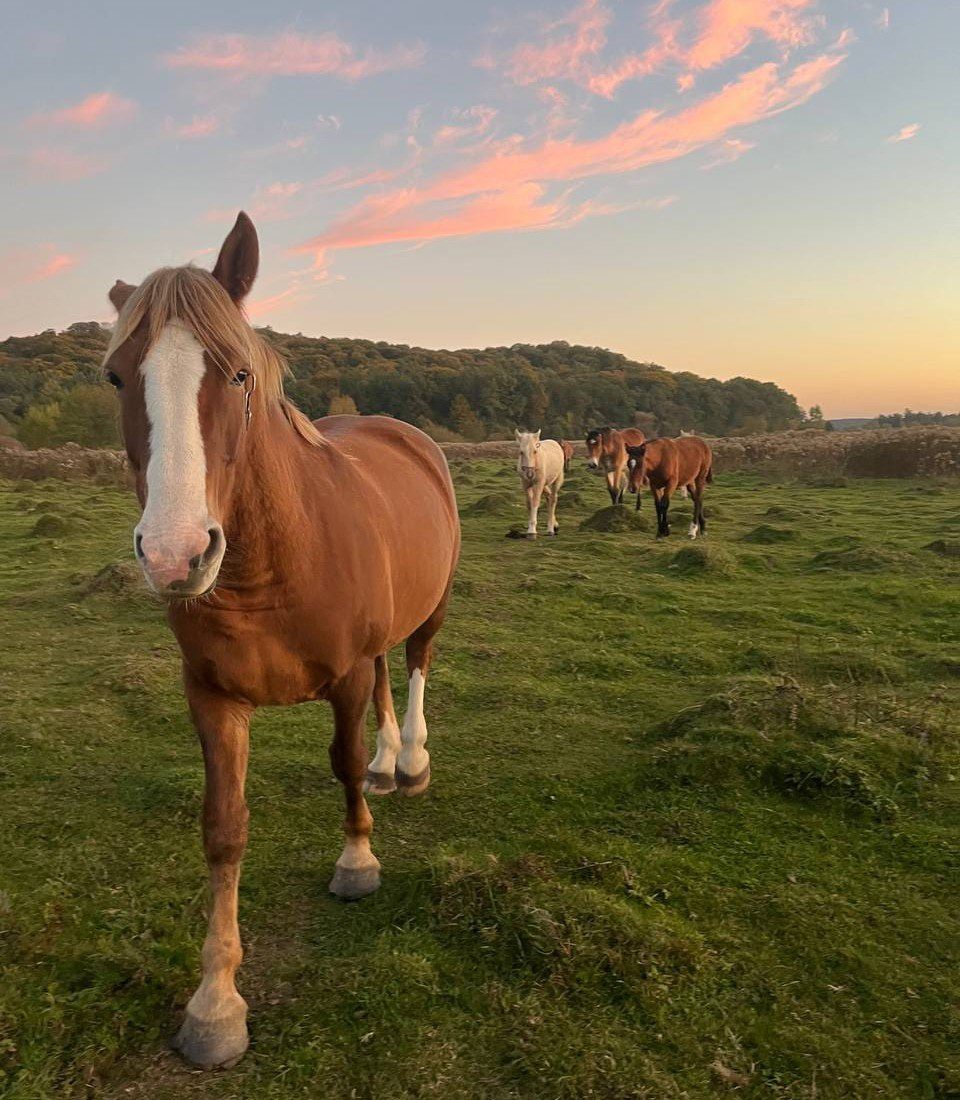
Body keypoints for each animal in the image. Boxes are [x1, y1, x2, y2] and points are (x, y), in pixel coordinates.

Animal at [102, 212, 459, 1064]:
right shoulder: (212, 697)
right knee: (390, 680)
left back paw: (411, 761)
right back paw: (391, 764)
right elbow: (224, 828)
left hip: (428, 611)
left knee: (415, 666)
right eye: (118, 378)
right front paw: (215, 1004)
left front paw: (357, 860)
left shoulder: (343, 677)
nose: (175, 554)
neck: (269, 568)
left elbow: (342, 761)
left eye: (238, 376)